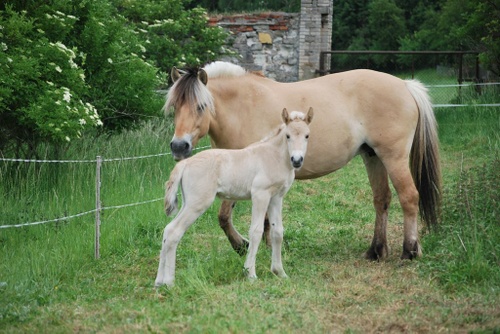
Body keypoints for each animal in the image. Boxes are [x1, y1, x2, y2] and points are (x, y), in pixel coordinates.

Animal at [165, 62, 442, 260]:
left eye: (201, 106)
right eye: (175, 106)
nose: (179, 146)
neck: (242, 108)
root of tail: (405, 85)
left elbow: (230, 217)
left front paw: (245, 246)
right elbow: (233, 218)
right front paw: (260, 247)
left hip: (393, 157)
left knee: (409, 197)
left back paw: (410, 251)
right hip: (373, 157)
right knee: (382, 199)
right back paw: (375, 251)